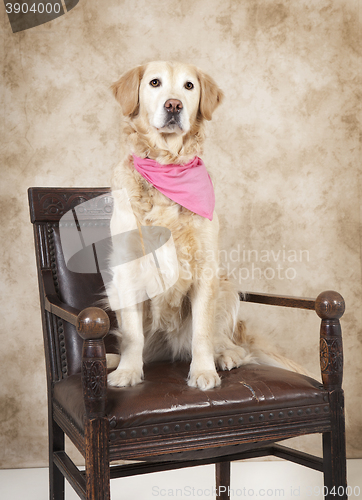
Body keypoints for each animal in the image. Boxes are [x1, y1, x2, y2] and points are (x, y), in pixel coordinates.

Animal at [107, 61, 302, 390]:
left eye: (189, 86)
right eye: (155, 83)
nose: (174, 105)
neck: (168, 167)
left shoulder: (206, 270)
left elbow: (202, 333)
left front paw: (203, 372)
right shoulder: (128, 269)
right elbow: (131, 334)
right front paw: (127, 371)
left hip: (225, 288)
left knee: (228, 342)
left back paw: (226, 356)